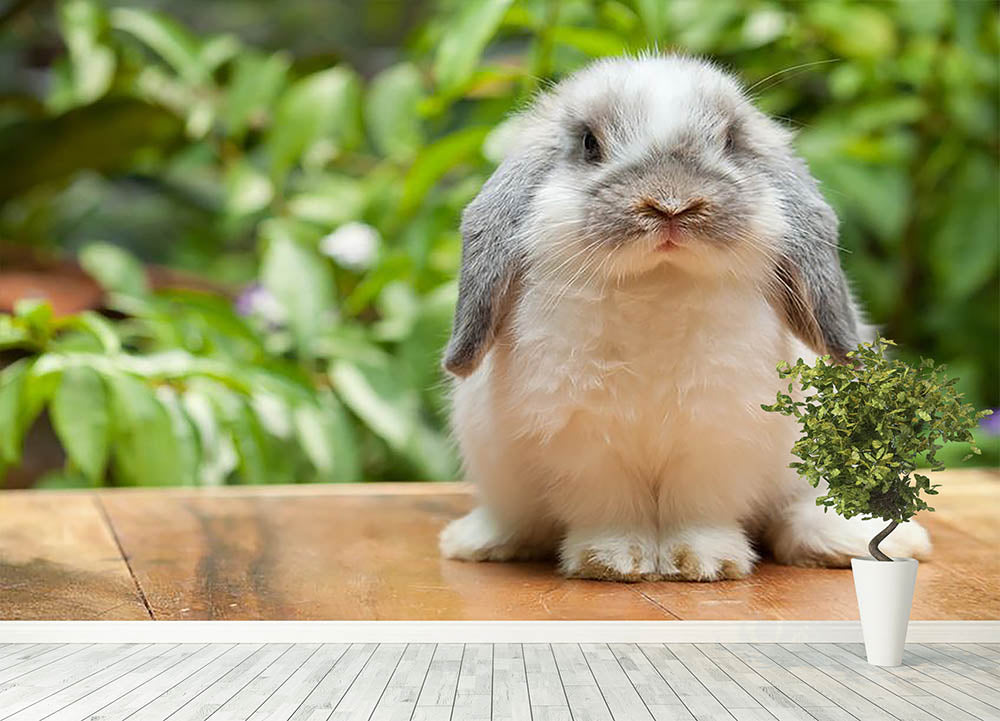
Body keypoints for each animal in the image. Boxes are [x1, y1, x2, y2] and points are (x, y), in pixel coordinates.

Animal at [438, 54, 931, 582]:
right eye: (590, 143)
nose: (671, 204)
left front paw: (703, 562)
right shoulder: (585, 443)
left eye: (731, 141)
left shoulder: (717, 436)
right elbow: (610, 508)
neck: (658, 284)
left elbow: (698, 508)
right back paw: (477, 541)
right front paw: (613, 561)